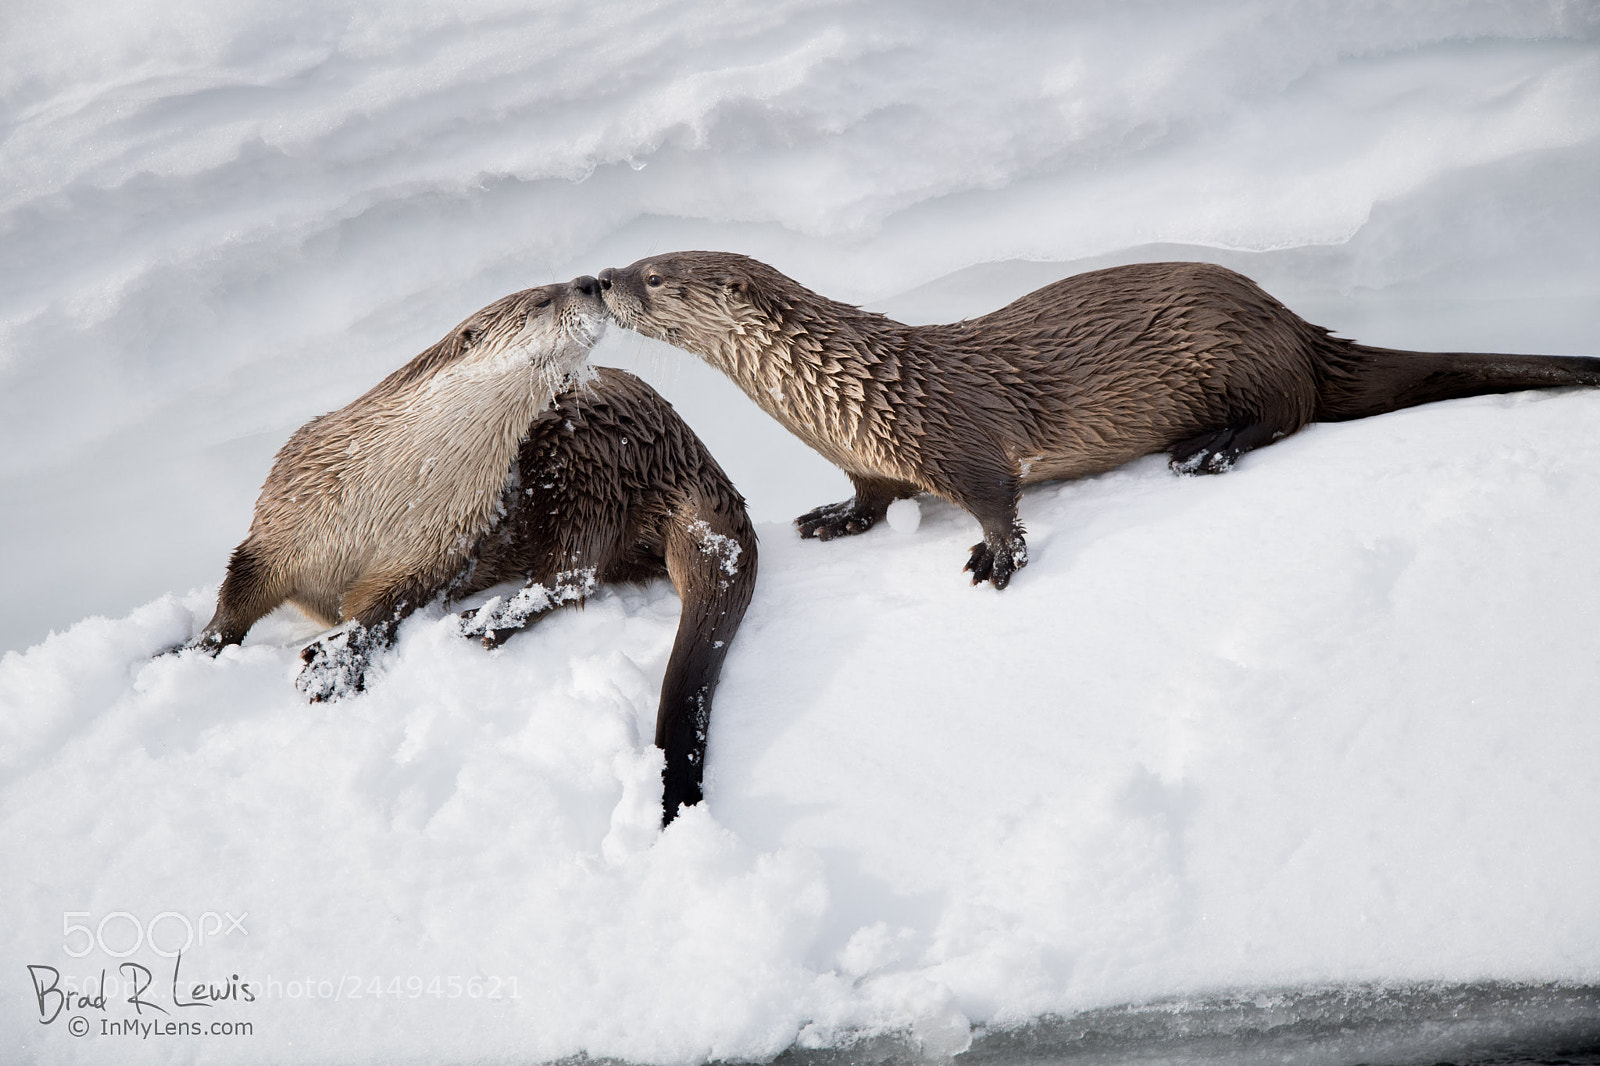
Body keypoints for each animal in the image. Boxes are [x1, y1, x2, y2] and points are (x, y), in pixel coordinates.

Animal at [598, 253, 1600, 588]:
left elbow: (997, 500)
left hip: (1240, 352)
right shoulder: (871, 457)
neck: (840, 396)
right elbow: (874, 497)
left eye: (655, 273)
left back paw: (1208, 450)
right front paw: (837, 517)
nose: (599, 278)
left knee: (1288, 415)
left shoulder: (960, 440)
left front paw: (998, 559)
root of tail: (1289, 319)